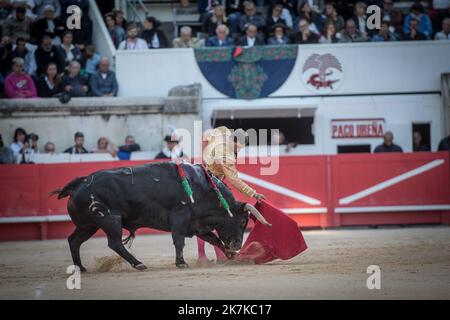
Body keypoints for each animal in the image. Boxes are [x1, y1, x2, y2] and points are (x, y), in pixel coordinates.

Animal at [52, 162, 270, 270]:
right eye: (242, 222)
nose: (236, 245)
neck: (204, 189)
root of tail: (80, 183)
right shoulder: (180, 218)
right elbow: (179, 241)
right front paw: (181, 263)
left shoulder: (196, 224)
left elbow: (214, 239)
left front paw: (231, 256)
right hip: (109, 220)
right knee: (114, 243)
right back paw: (138, 264)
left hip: (88, 225)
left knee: (74, 240)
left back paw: (80, 268)